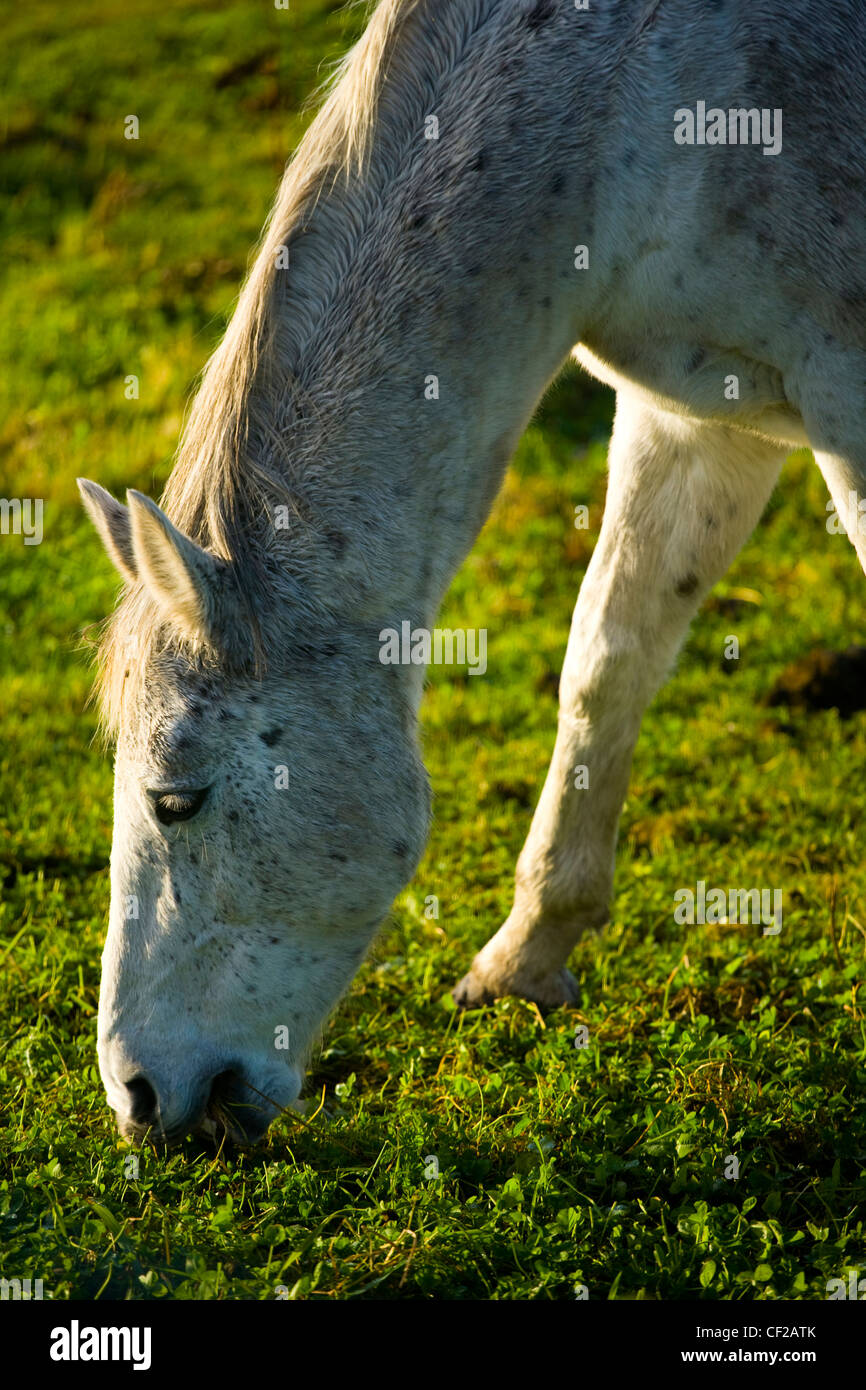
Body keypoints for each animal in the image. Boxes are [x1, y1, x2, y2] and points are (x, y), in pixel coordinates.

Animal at [79, 0, 866, 1139]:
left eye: (174, 799)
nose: (140, 1097)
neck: (632, 97)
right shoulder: (693, 416)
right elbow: (603, 663)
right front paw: (526, 958)